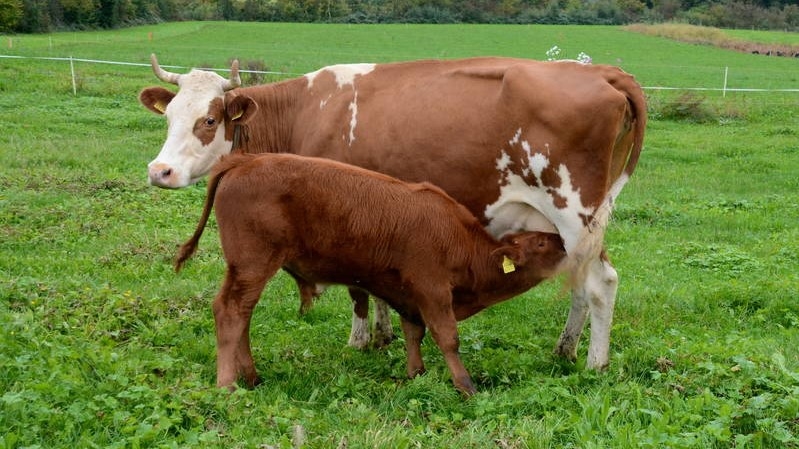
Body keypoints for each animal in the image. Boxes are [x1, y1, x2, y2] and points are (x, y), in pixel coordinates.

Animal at [139, 54, 647, 371]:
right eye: (169, 118)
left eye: (208, 120)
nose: (159, 171)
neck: (305, 112)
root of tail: (603, 73)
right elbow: (374, 283)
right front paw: (383, 336)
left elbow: (356, 289)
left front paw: (361, 340)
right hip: (576, 226)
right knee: (580, 278)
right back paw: (565, 350)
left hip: (574, 210)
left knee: (601, 283)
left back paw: (596, 363)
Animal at [175, 152, 568, 395]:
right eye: (540, 243)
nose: (564, 241)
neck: (459, 241)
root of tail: (246, 159)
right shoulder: (433, 289)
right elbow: (447, 338)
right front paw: (465, 385)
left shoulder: (410, 295)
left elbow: (414, 332)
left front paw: (416, 373)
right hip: (253, 265)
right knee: (230, 312)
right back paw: (228, 384)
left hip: (245, 270)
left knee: (241, 314)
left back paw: (252, 376)